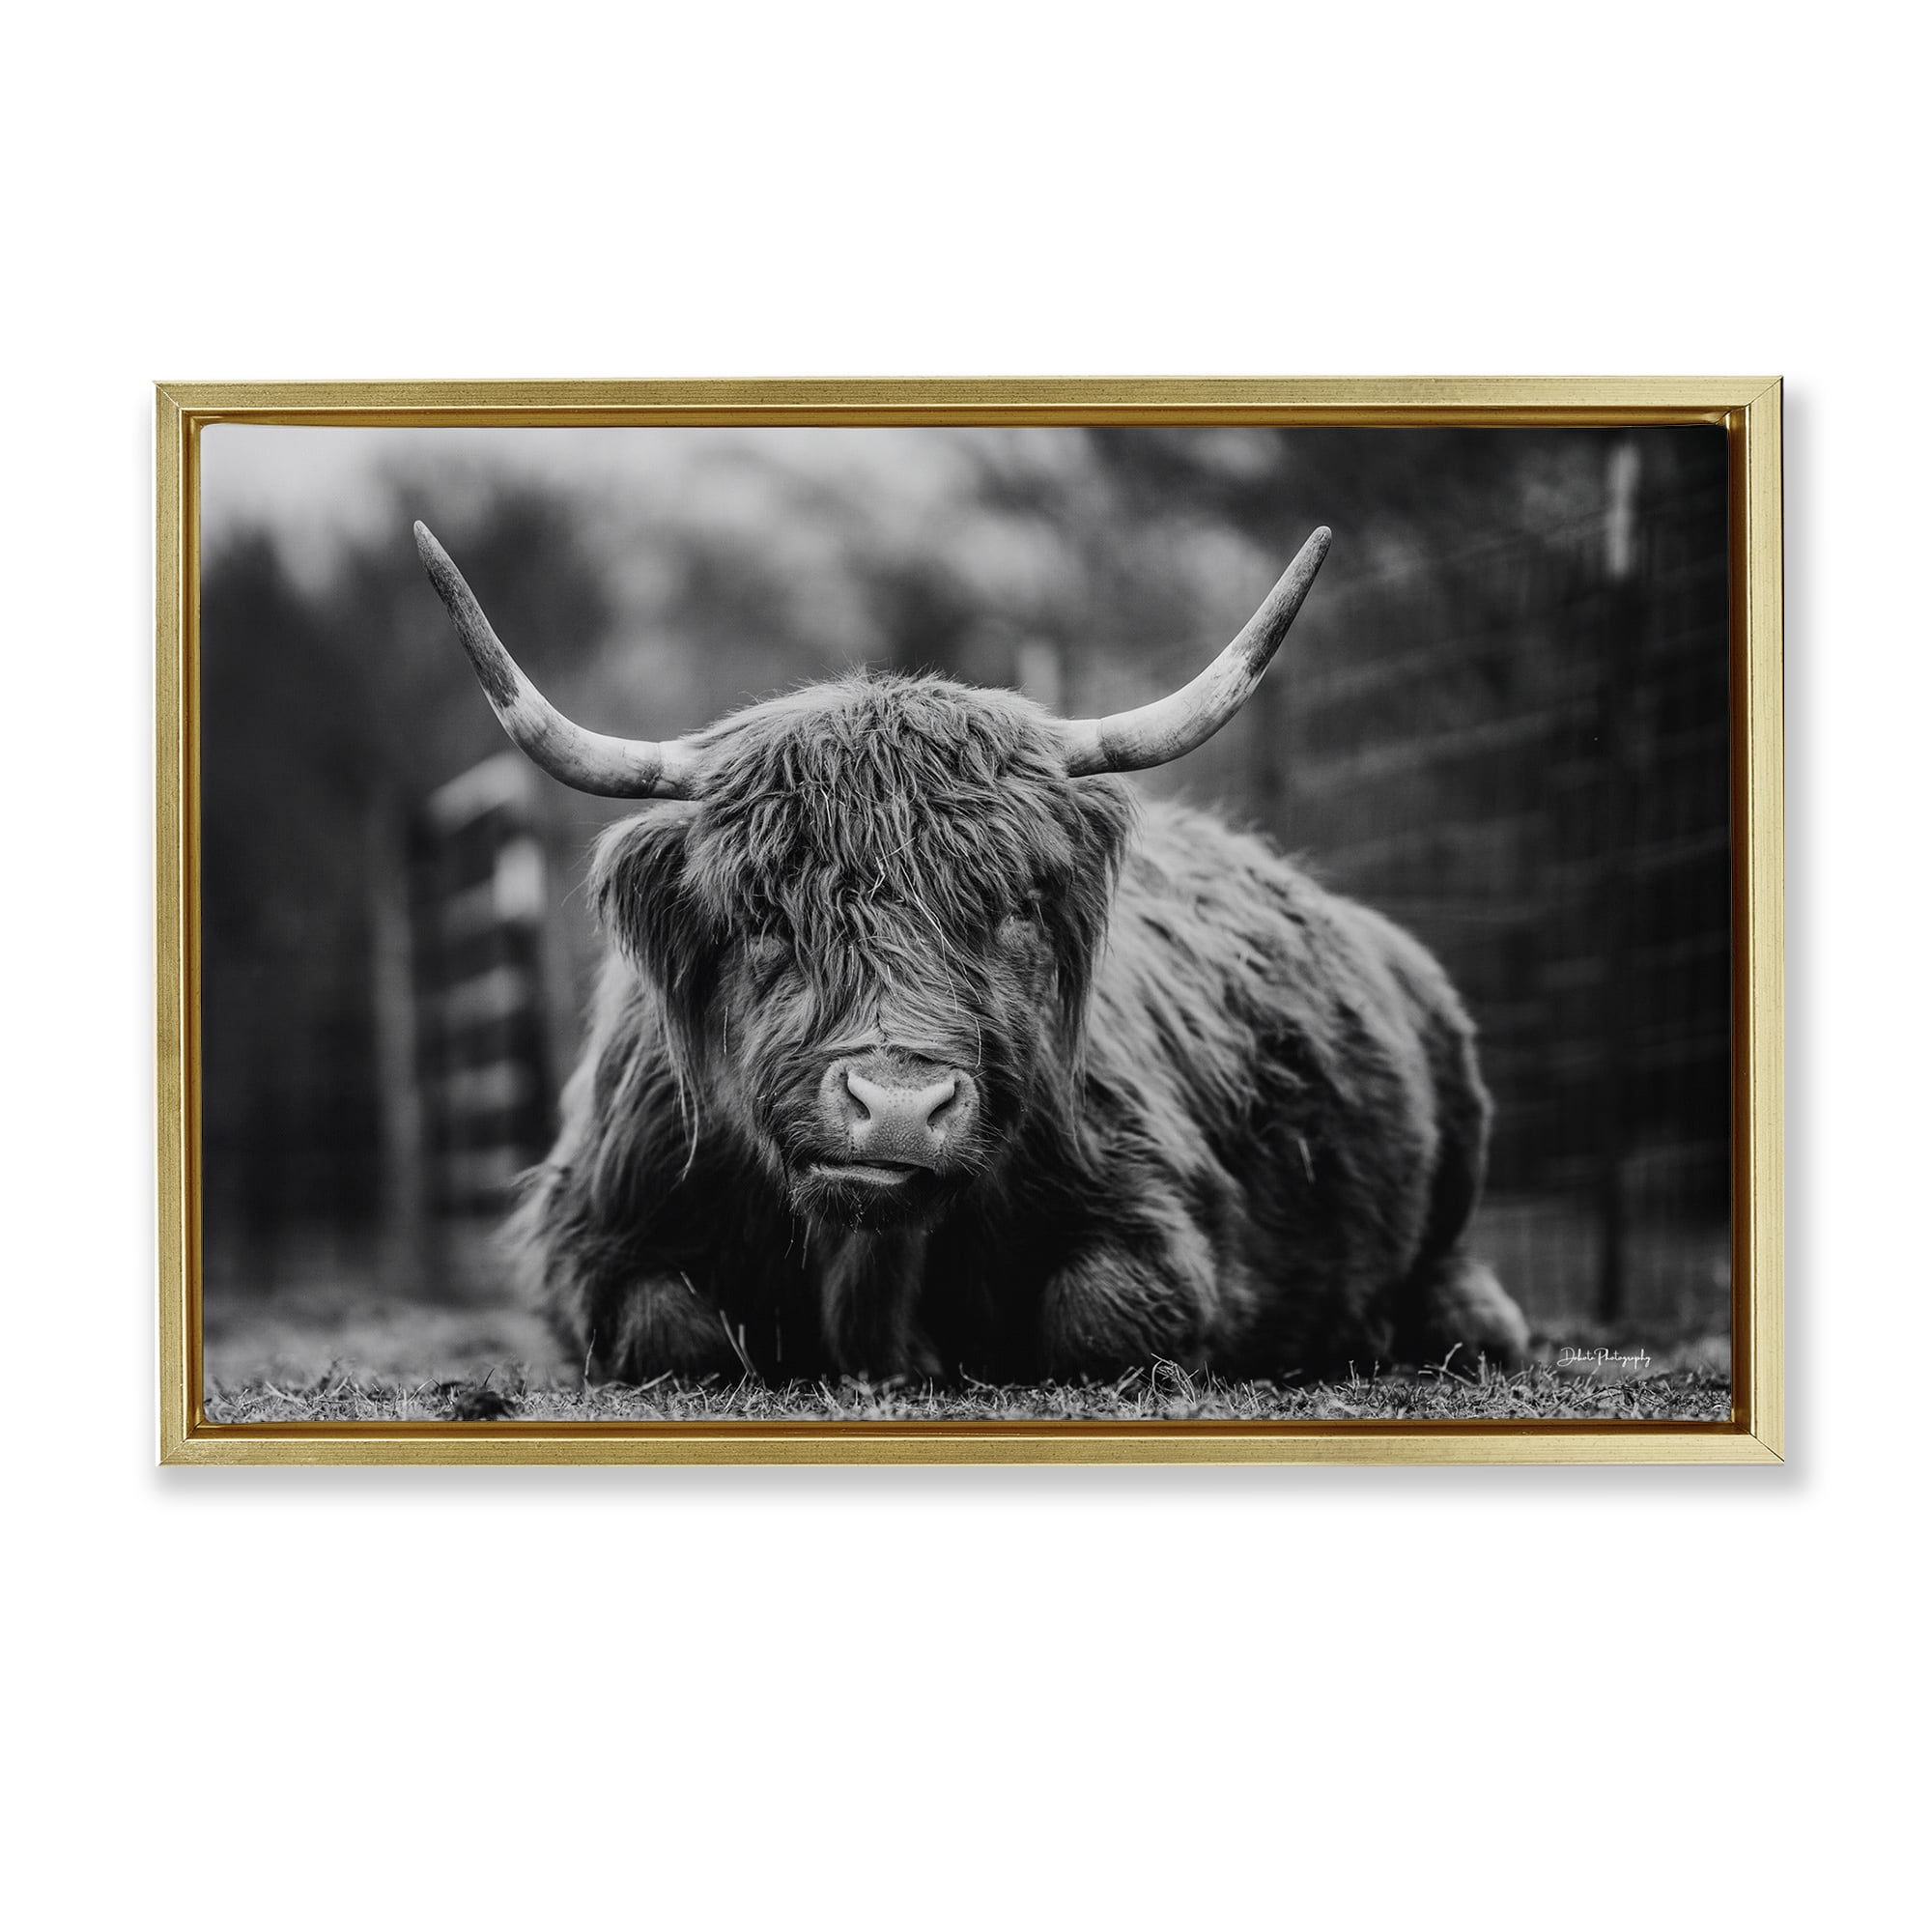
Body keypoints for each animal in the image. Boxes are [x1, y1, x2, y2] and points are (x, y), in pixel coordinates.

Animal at [415, 519, 1530, 1385]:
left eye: (1012, 909)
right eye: (766, 914)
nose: (899, 1107)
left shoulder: (1157, 1222)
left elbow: (1101, 1316)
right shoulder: (594, 1238)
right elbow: (667, 1330)